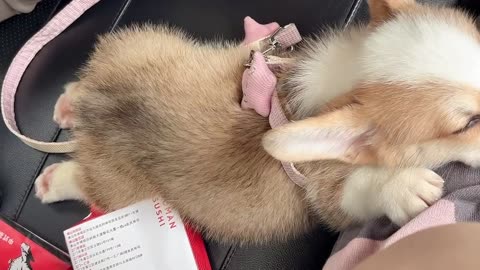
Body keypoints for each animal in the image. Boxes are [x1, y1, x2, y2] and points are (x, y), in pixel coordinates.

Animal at [35, 0, 480, 245]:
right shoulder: (324, 192)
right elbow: (357, 190)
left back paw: (67, 104)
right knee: (89, 183)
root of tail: (93, 119)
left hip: (155, 44)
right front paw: (403, 187)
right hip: (125, 189)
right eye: (466, 125)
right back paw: (52, 179)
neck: (348, 73)